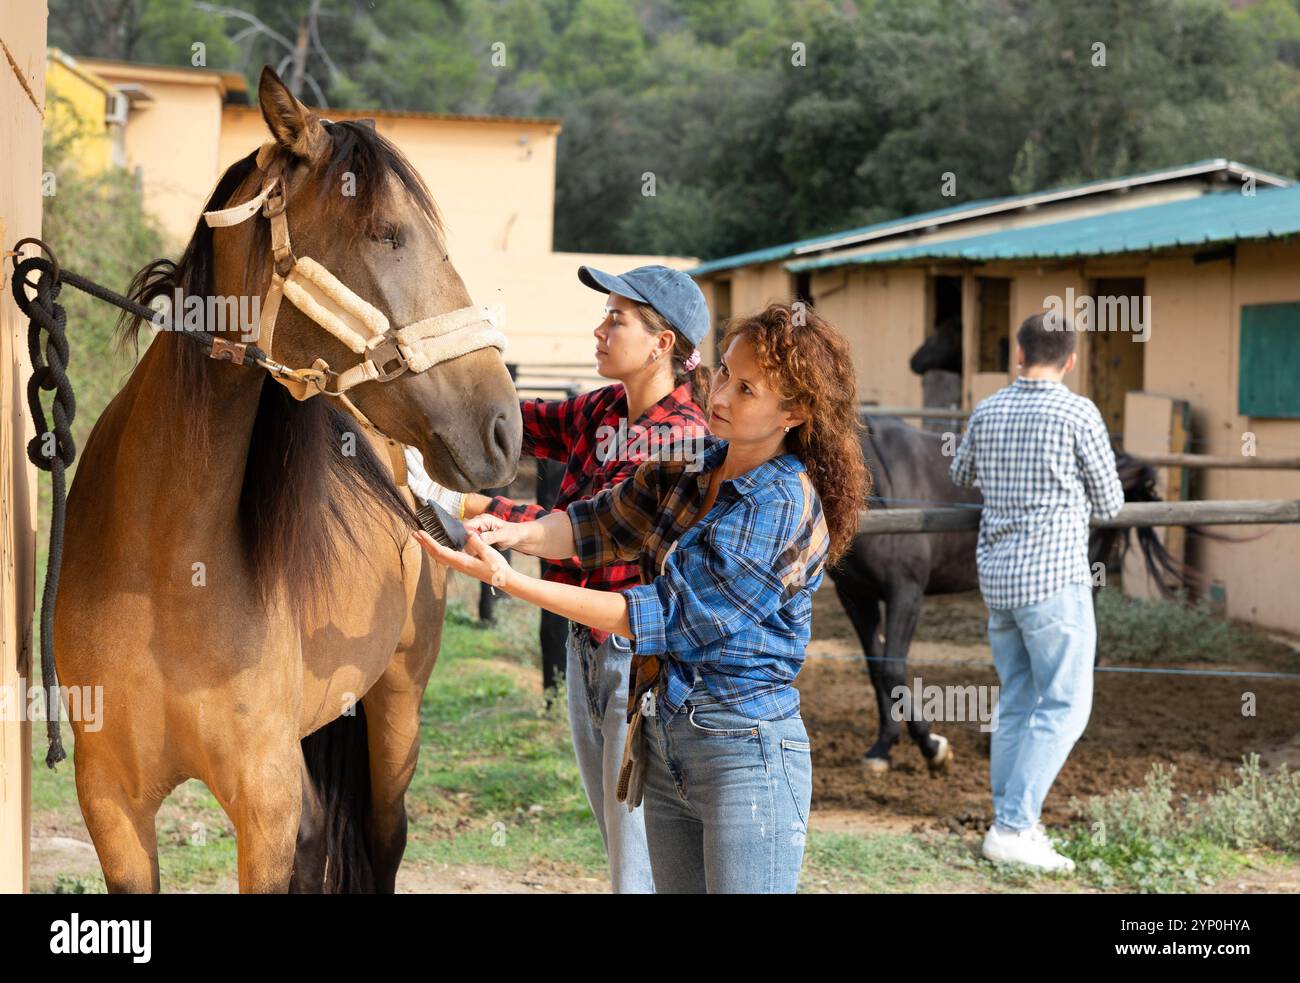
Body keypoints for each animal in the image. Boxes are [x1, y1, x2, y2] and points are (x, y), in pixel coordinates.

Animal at [52, 69, 517, 894]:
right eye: (386, 233)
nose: (504, 426)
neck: (168, 565)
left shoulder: (261, 805)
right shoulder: (111, 799)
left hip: (397, 711)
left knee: (384, 836)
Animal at [826, 413, 1190, 774]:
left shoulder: (906, 593)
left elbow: (892, 670)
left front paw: (933, 747)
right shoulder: (856, 598)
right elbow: (877, 671)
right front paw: (883, 747)